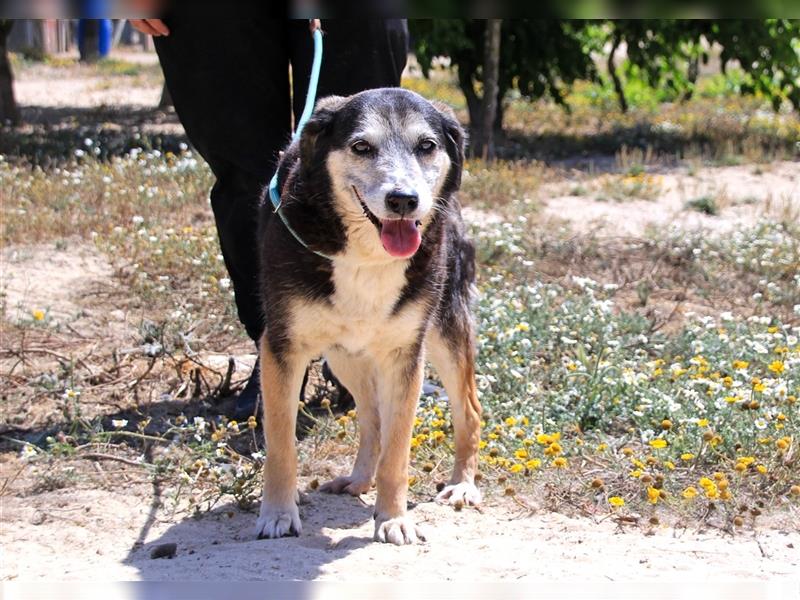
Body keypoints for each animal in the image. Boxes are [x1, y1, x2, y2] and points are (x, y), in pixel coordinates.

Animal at [256, 88, 482, 544]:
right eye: (362, 147)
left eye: (426, 146)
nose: (404, 200)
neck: (366, 255)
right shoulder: (280, 348)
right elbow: (281, 443)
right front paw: (278, 513)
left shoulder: (404, 356)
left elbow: (397, 452)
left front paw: (393, 518)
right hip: (344, 355)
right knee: (371, 419)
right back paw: (360, 480)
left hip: (445, 331)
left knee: (469, 410)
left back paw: (462, 485)